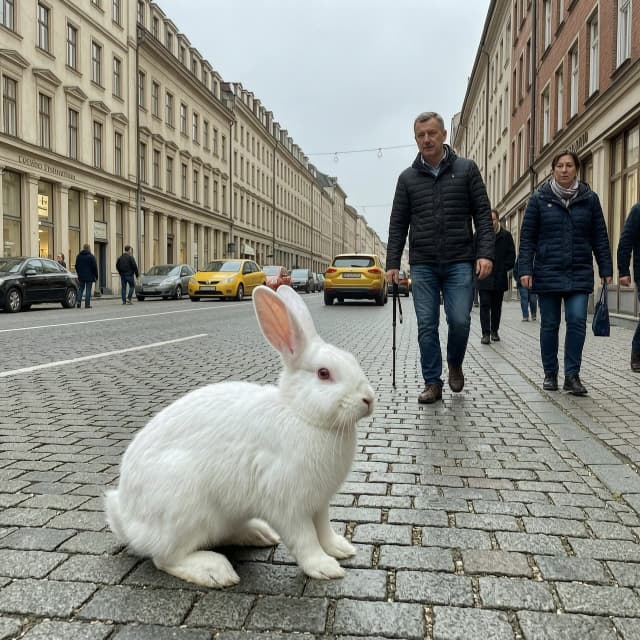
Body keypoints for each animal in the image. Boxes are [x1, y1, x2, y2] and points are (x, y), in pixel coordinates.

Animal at [105, 284, 375, 588]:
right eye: (324, 373)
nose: (368, 399)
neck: (301, 414)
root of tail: (126, 519)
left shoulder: (318, 503)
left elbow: (324, 529)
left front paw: (341, 548)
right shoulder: (288, 504)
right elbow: (305, 538)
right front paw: (324, 567)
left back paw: (258, 534)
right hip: (182, 509)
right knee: (166, 558)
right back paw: (214, 570)